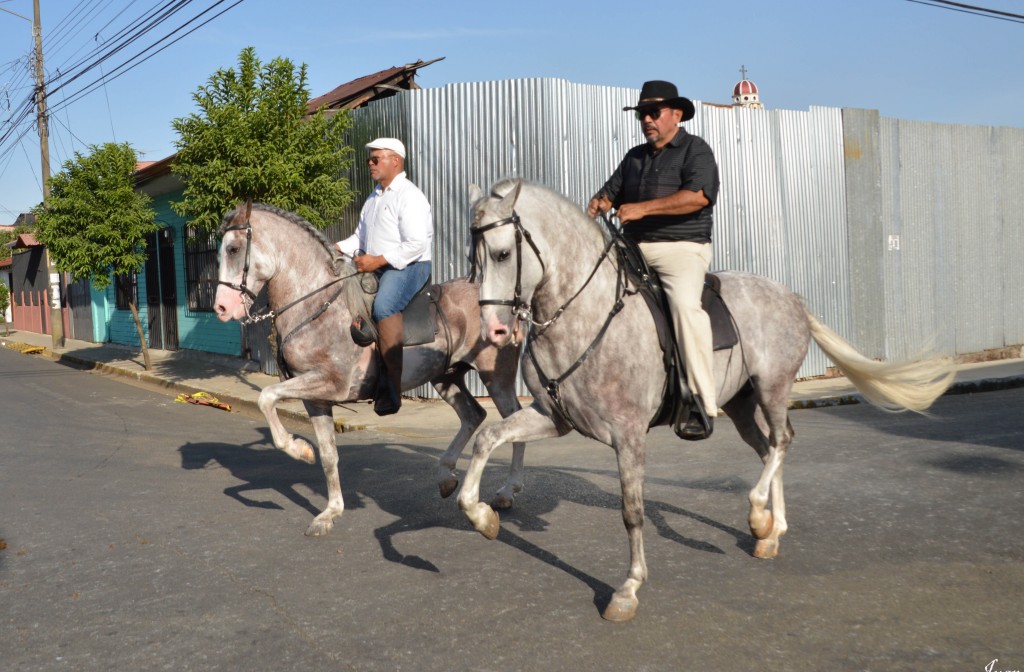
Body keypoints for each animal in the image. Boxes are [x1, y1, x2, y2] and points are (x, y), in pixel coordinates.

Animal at [211, 201, 524, 536]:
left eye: (233, 249)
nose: (222, 308)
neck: (317, 307)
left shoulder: (330, 382)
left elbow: (266, 396)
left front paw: (299, 449)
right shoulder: (316, 398)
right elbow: (328, 455)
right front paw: (330, 512)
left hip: (497, 377)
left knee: (513, 421)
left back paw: (507, 492)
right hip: (446, 377)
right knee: (472, 415)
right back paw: (445, 476)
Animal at [460, 180, 954, 622]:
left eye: (502, 254)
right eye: (473, 258)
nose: (494, 331)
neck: (587, 313)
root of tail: (790, 297)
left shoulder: (629, 434)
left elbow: (632, 511)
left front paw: (629, 589)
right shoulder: (552, 417)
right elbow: (488, 438)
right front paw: (482, 516)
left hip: (773, 388)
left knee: (782, 442)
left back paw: (759, 517)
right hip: (740, 406)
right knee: (768, 448)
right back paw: (771, 532)